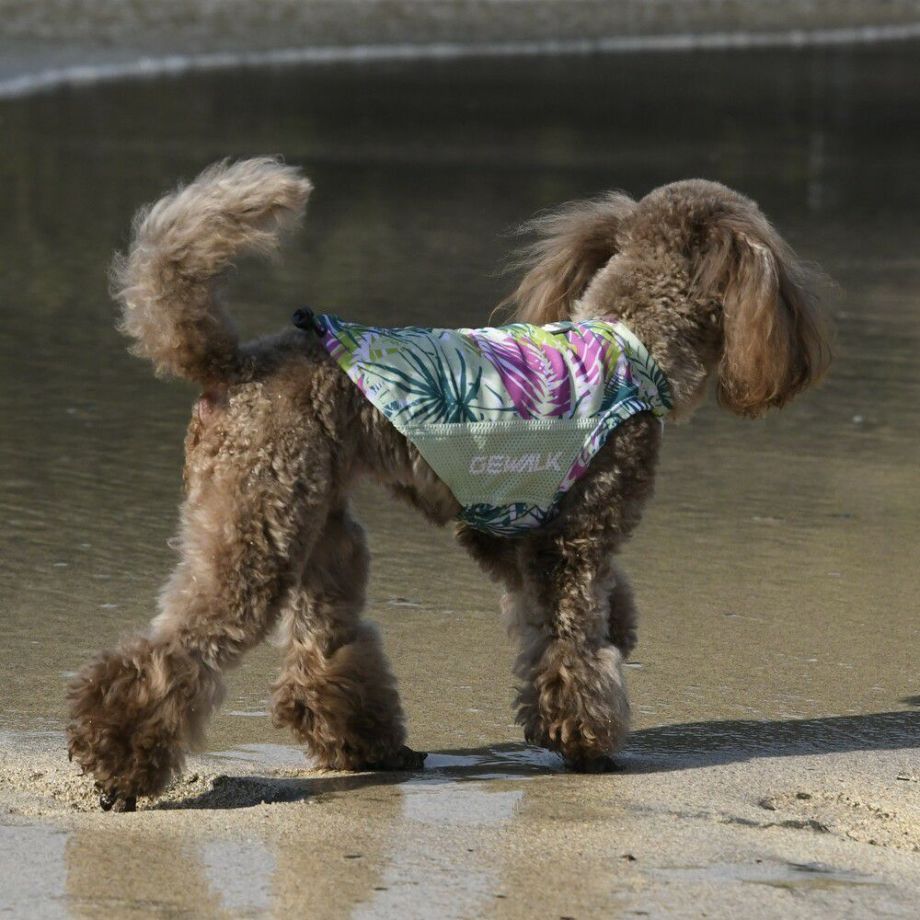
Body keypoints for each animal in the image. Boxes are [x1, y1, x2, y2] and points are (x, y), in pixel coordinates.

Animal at [67, 158, 830, 811]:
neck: (634, 341)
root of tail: (231, 364)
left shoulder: (510, 535)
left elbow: (560, 628)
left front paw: (613, 637)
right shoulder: (575, 541)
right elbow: (575, 644)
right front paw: (589, 740)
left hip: (317, 526)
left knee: (322, 649)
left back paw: (371, 745)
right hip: (259, 526)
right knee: (175, 651)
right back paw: (118, 766)